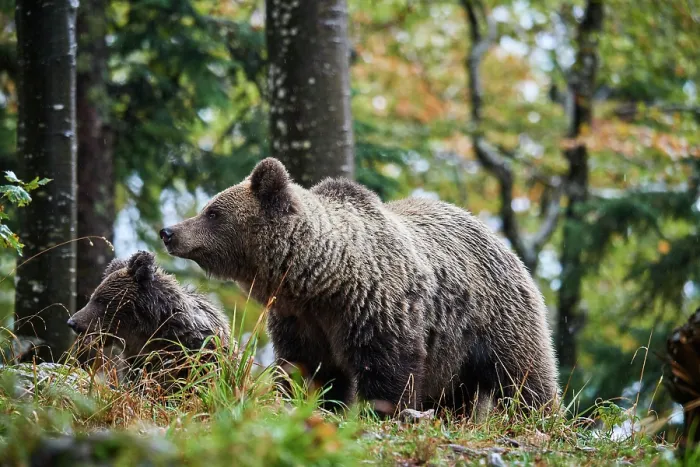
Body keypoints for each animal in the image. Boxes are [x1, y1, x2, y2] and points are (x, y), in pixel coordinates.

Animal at [159, 157, 559, 418]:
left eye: (212, 211)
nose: (169, 232)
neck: (322, 281)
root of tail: (495, 236)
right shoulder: (299, 320)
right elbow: (307, 368)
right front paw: (311, 402)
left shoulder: (376, 309)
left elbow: (387, 371)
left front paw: (380, 413)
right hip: (454, 353)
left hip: (493, 318)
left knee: (523, 375)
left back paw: (538, 417)